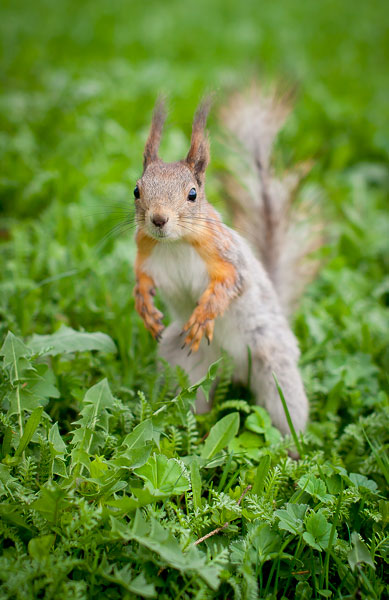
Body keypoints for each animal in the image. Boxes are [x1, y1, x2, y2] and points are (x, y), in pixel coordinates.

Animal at [132, 85, 320, 436]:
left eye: (193, 194)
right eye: (137, 190)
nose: (159, 219)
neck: (175, 243)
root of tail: (234, 369)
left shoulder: (226, 256)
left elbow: (231, 283)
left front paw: (206, 312)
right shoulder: (144, 254)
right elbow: (142, 280)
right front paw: (145, 307)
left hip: (274, 362)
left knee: (285, 410)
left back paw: (292, 445)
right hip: (185, 367)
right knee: (195, 400)